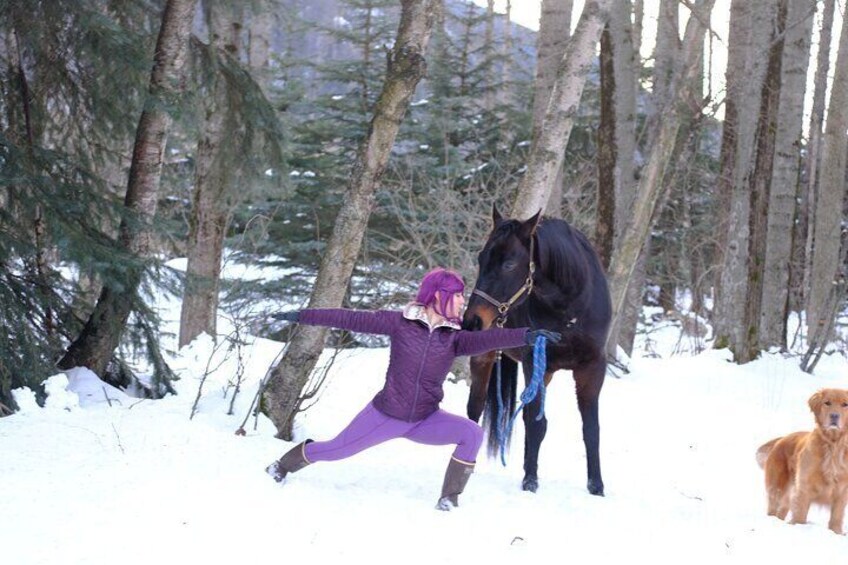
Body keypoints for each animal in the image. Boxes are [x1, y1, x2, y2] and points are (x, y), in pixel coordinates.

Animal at [464, 206, 608, 494]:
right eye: (481, 258)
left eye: (509, 264)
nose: (472, 321)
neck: (571, 308)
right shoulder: (535, 360)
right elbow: (537, 423)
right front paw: (531, 480)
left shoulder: (593, 368)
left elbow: (591, 430)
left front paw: (596, 486)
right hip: (484, 358)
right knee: (475, 408)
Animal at [760, 388, 848, 532]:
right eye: (827, 403)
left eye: (845, 404)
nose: (834, 416)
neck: (833, 445)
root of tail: (781, 439)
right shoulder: (804, 487)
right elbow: (800, 513)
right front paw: (799, 525)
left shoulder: (841, 492)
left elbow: (836, 517)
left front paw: (836, 533)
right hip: (777, 487)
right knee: (773, 507)